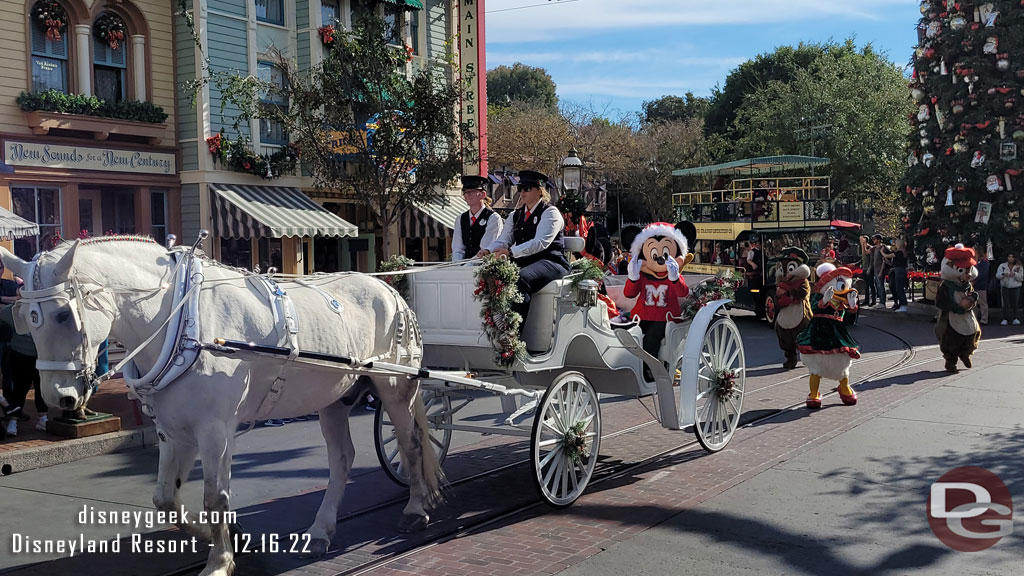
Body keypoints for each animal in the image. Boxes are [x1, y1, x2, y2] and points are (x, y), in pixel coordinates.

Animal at [1, 236, 440, 573]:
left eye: (63, 314)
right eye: (25, 317)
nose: (59, 397)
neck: (181, 322)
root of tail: (391, 289)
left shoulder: (215, 428)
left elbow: (215, 497)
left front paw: (219, 560)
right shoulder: (174, 430)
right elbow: (167, 499)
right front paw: (234, 538)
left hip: (396, 386)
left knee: (411, 443)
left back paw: (416, 509)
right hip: (332, 397)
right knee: (342, 458)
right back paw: (320, 531)